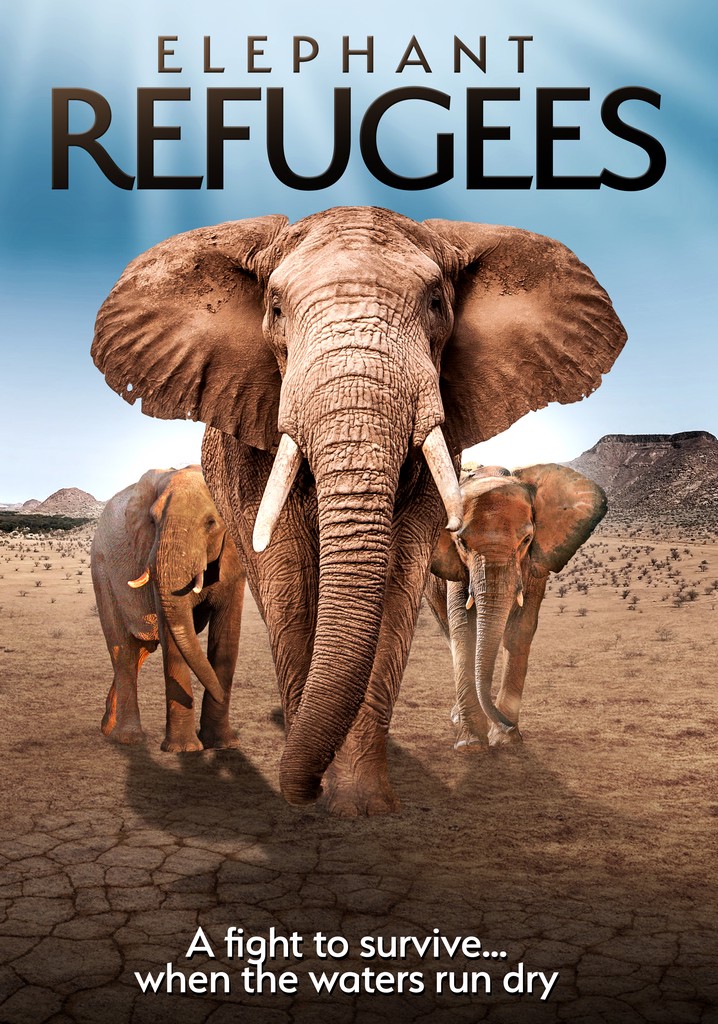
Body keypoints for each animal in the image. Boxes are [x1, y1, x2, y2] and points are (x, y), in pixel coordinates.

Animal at [91, 465, 245, 752]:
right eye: (153, 521)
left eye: (211, 523)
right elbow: (171, 634)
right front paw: (185, 749)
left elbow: (227, 632)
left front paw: (223, 744)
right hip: (101, 568)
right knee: (123, 651)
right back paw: (128, 738)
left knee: (141, 649)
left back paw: (107, 728)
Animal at [425, 464, 607, 751]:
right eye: (462, 543)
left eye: (527, 539)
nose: (506, 724)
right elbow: (464, 628)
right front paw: (472, 744)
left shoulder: (537, 561)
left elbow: (521, 627)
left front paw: (506, 740)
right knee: (447, 629)